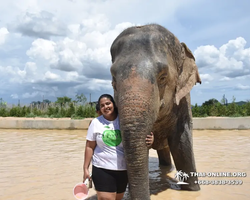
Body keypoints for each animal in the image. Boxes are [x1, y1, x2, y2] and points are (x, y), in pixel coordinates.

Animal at [110, 24, 202, 199]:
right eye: (113, 81)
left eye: (163, 77)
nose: (149, 138)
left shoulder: (183, 101)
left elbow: (181, 142)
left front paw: (193, 190)